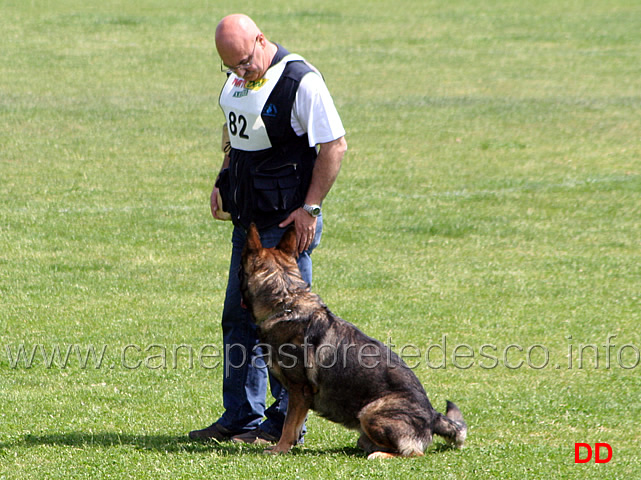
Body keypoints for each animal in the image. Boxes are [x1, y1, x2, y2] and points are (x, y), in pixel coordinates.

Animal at [240, 225, 464, 458]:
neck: (286, 301)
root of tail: (433, 415)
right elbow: (293, 427)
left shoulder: (298, 391)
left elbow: (288, 424)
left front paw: (280, 449)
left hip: (369, 411)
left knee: (412, 452)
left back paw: (379, 455)